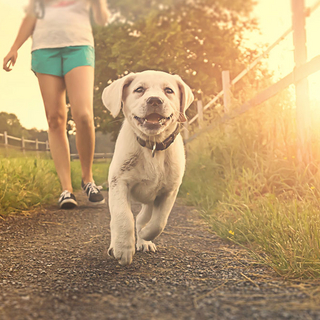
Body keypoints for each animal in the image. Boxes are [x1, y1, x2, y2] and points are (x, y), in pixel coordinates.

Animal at [101, 70, 194, 264]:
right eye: (139, 90)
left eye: (168, 90)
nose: (155, 100)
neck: (152, 146)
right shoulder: (118, 182)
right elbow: (123, 216)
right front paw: (123, 248)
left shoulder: (169, 191)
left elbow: (159, 222)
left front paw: (145, 236)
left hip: (150, 201)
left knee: (142, 218)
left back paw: (144, 241)